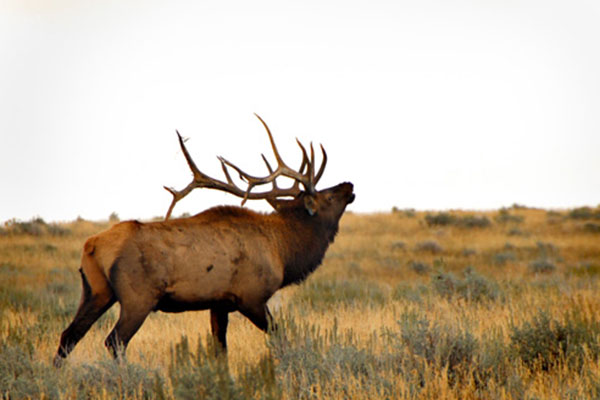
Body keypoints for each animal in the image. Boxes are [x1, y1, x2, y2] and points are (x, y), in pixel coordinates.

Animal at [54, 115, 354, 366]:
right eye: (327, 196)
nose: (349, 185)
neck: (283, 251)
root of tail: (92, 247)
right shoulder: (251, 297)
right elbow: (280, 337)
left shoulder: (218, 302)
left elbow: (220, 350)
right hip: (137, 297)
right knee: (114, 341)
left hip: (96, 291)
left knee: (68, 336)